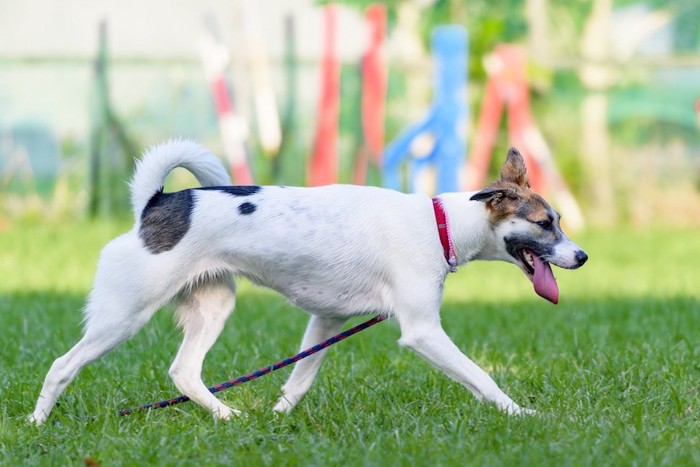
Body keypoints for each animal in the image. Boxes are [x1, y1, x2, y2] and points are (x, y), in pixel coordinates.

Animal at [28, 141, 584, 426]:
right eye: (545, 224)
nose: (581, 256)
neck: (440, 222)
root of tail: (157, 202)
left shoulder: (327, 320)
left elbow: (298, 380)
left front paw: (278, 420)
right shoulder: (423, 331)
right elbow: (482, 378)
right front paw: (522, 413)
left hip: (213, 306)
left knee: (184, 373)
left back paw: (228, 415)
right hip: (123, 316)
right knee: (60, 366)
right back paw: (37, 425)